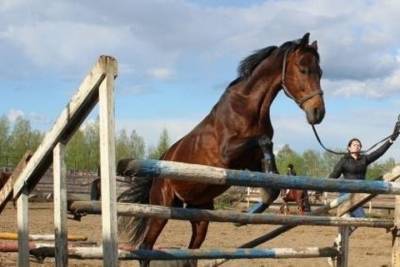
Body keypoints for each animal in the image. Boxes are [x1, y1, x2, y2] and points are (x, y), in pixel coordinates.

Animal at [118, 33, 324, 258]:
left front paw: (255, 207)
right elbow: (264, 141)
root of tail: (160, 163)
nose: (318, 113)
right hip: (162, 208)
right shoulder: (227, 154)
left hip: (200, 215)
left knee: (192, 250)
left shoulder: (249, 162)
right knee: (146, 246)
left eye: (321, 72)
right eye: (303, 69)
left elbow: (273, 177)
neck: (248, 108)